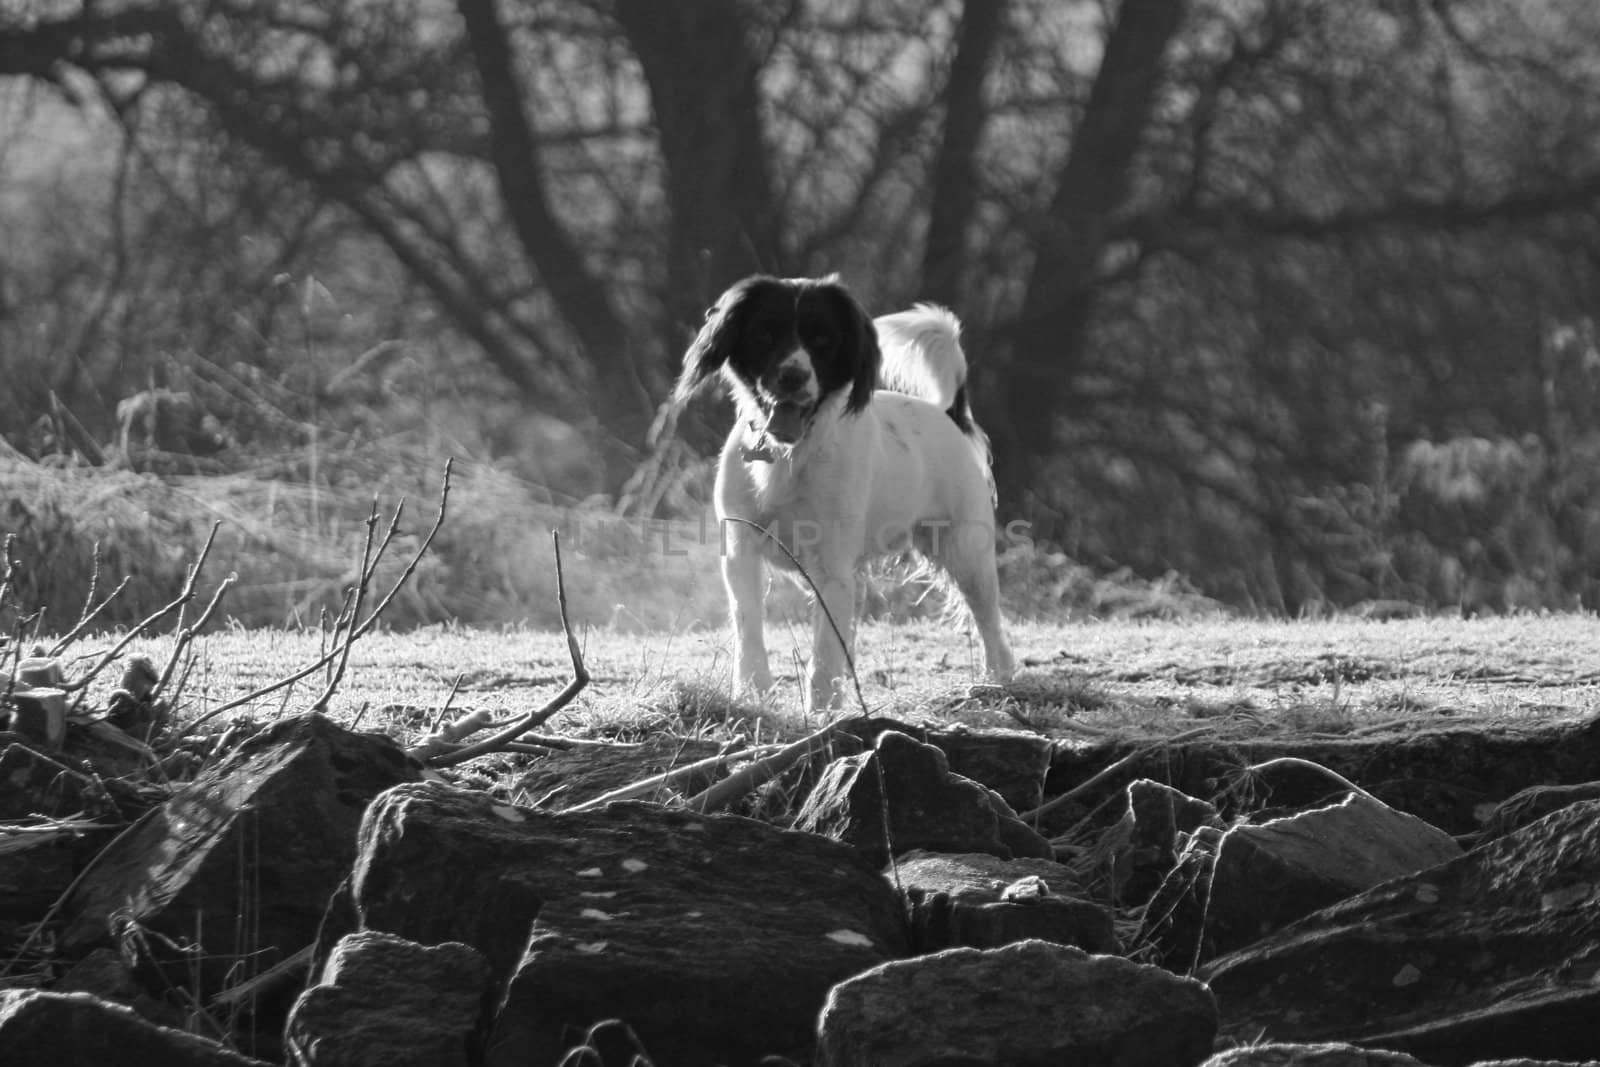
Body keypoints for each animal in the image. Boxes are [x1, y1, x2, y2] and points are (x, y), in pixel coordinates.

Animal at [675, 273, 1011, 710]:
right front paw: (754, 694)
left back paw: (997, 679)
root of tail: (944, 413)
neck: (789, 455)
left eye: (823, 338)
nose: (792, 376)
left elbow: (824, 649)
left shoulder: (831, 568)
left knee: (990, 622)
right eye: (765, 332)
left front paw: (821, 712)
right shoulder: (740, 552)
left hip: (965, 553)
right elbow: (750, 628)